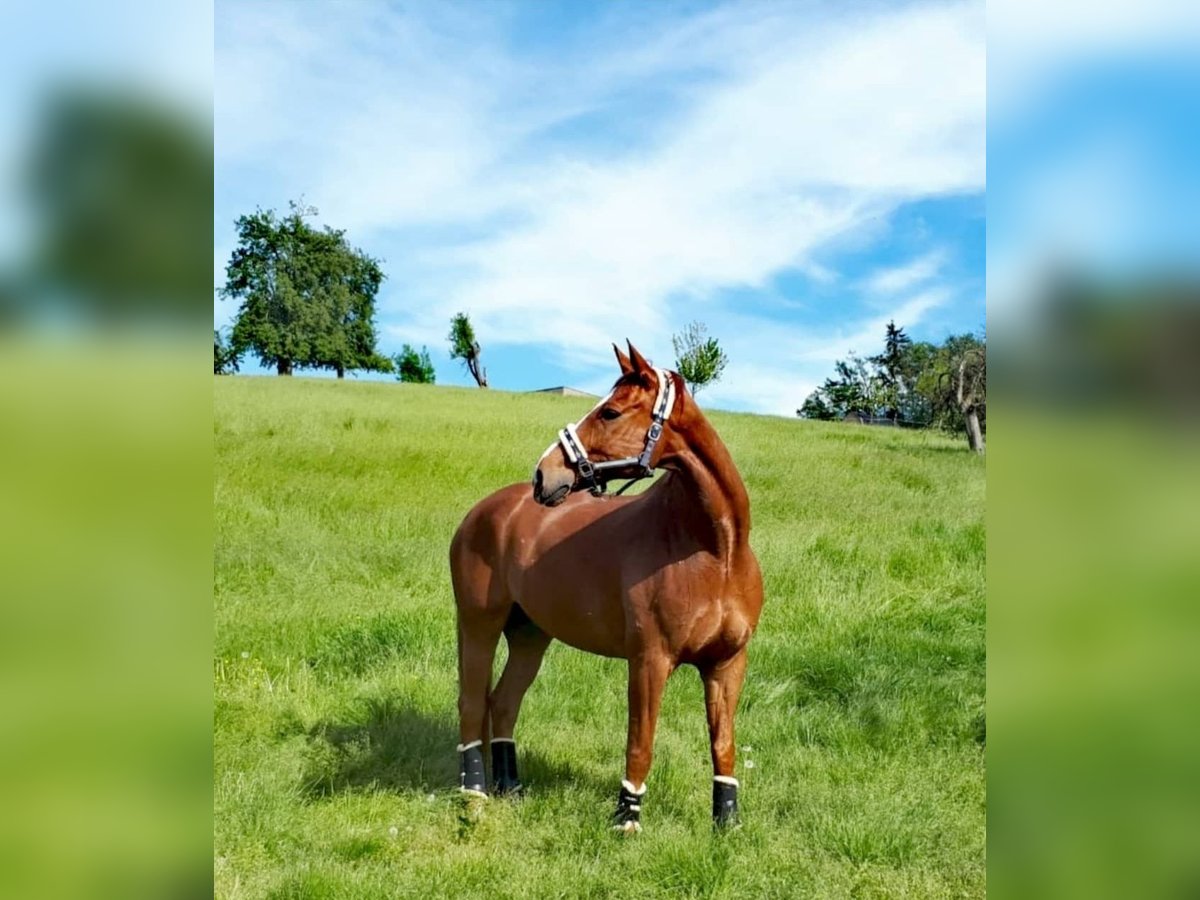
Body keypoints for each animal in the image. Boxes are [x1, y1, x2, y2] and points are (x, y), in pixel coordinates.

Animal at [446, 343, 763, 830]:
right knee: (472, 703)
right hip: (479, 624)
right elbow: (641, 742)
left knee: (503, 702)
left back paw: (510, 787)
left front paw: (726, 823)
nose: (544, 474)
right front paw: (626, 819)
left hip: (530, 636)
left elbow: (723, 745)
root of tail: (482, 512)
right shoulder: (650, 661)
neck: (715, 550)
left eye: (610, 412)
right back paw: (475, 795)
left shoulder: (727, 663)